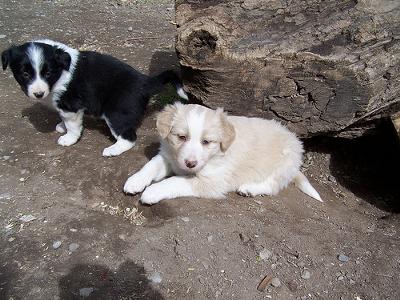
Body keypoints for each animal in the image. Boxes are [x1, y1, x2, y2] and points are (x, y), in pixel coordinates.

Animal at [0, 39, 188, 156]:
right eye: (25, 74)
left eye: (48, 73)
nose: (38, 94)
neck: (60, 71)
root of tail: (144, 81)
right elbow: (63, 119)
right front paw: (61, 126)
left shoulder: (71, 106)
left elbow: (73, 125)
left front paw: (69, 138)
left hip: (116, 112)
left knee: (129, 137)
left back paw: (113, 150)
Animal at [125, 102, 322, 204]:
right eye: (182, 137)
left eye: (206, 142)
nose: (190, 164)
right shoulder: (168, 156)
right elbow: (151, 165)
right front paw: (135, 181)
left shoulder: (212, 181)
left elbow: (175, 181)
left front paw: (152, 191)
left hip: (283, 163)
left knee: (273, 185)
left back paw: (249, 188)